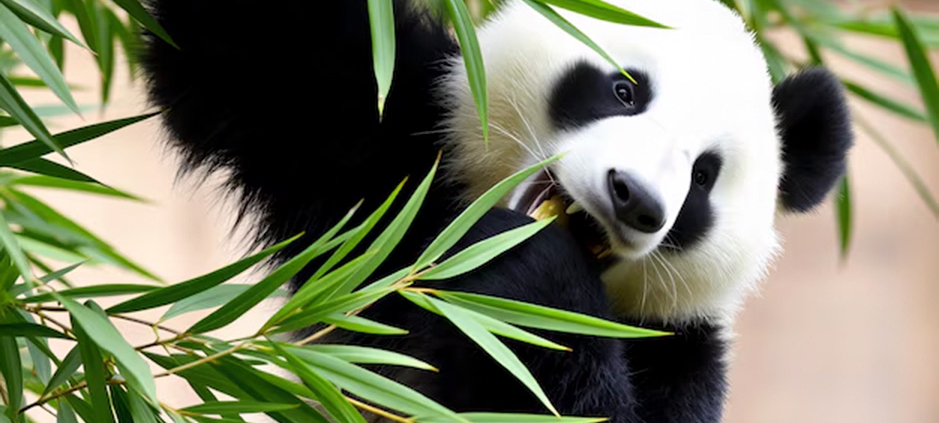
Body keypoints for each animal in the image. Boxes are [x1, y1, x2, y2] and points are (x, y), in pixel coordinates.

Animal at [142, 0, 852, 421]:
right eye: (624, 90)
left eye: (704, 176)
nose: (637, 199)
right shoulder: (390, 149)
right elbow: (257, 47)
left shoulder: (678, 352)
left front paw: (540, 280)